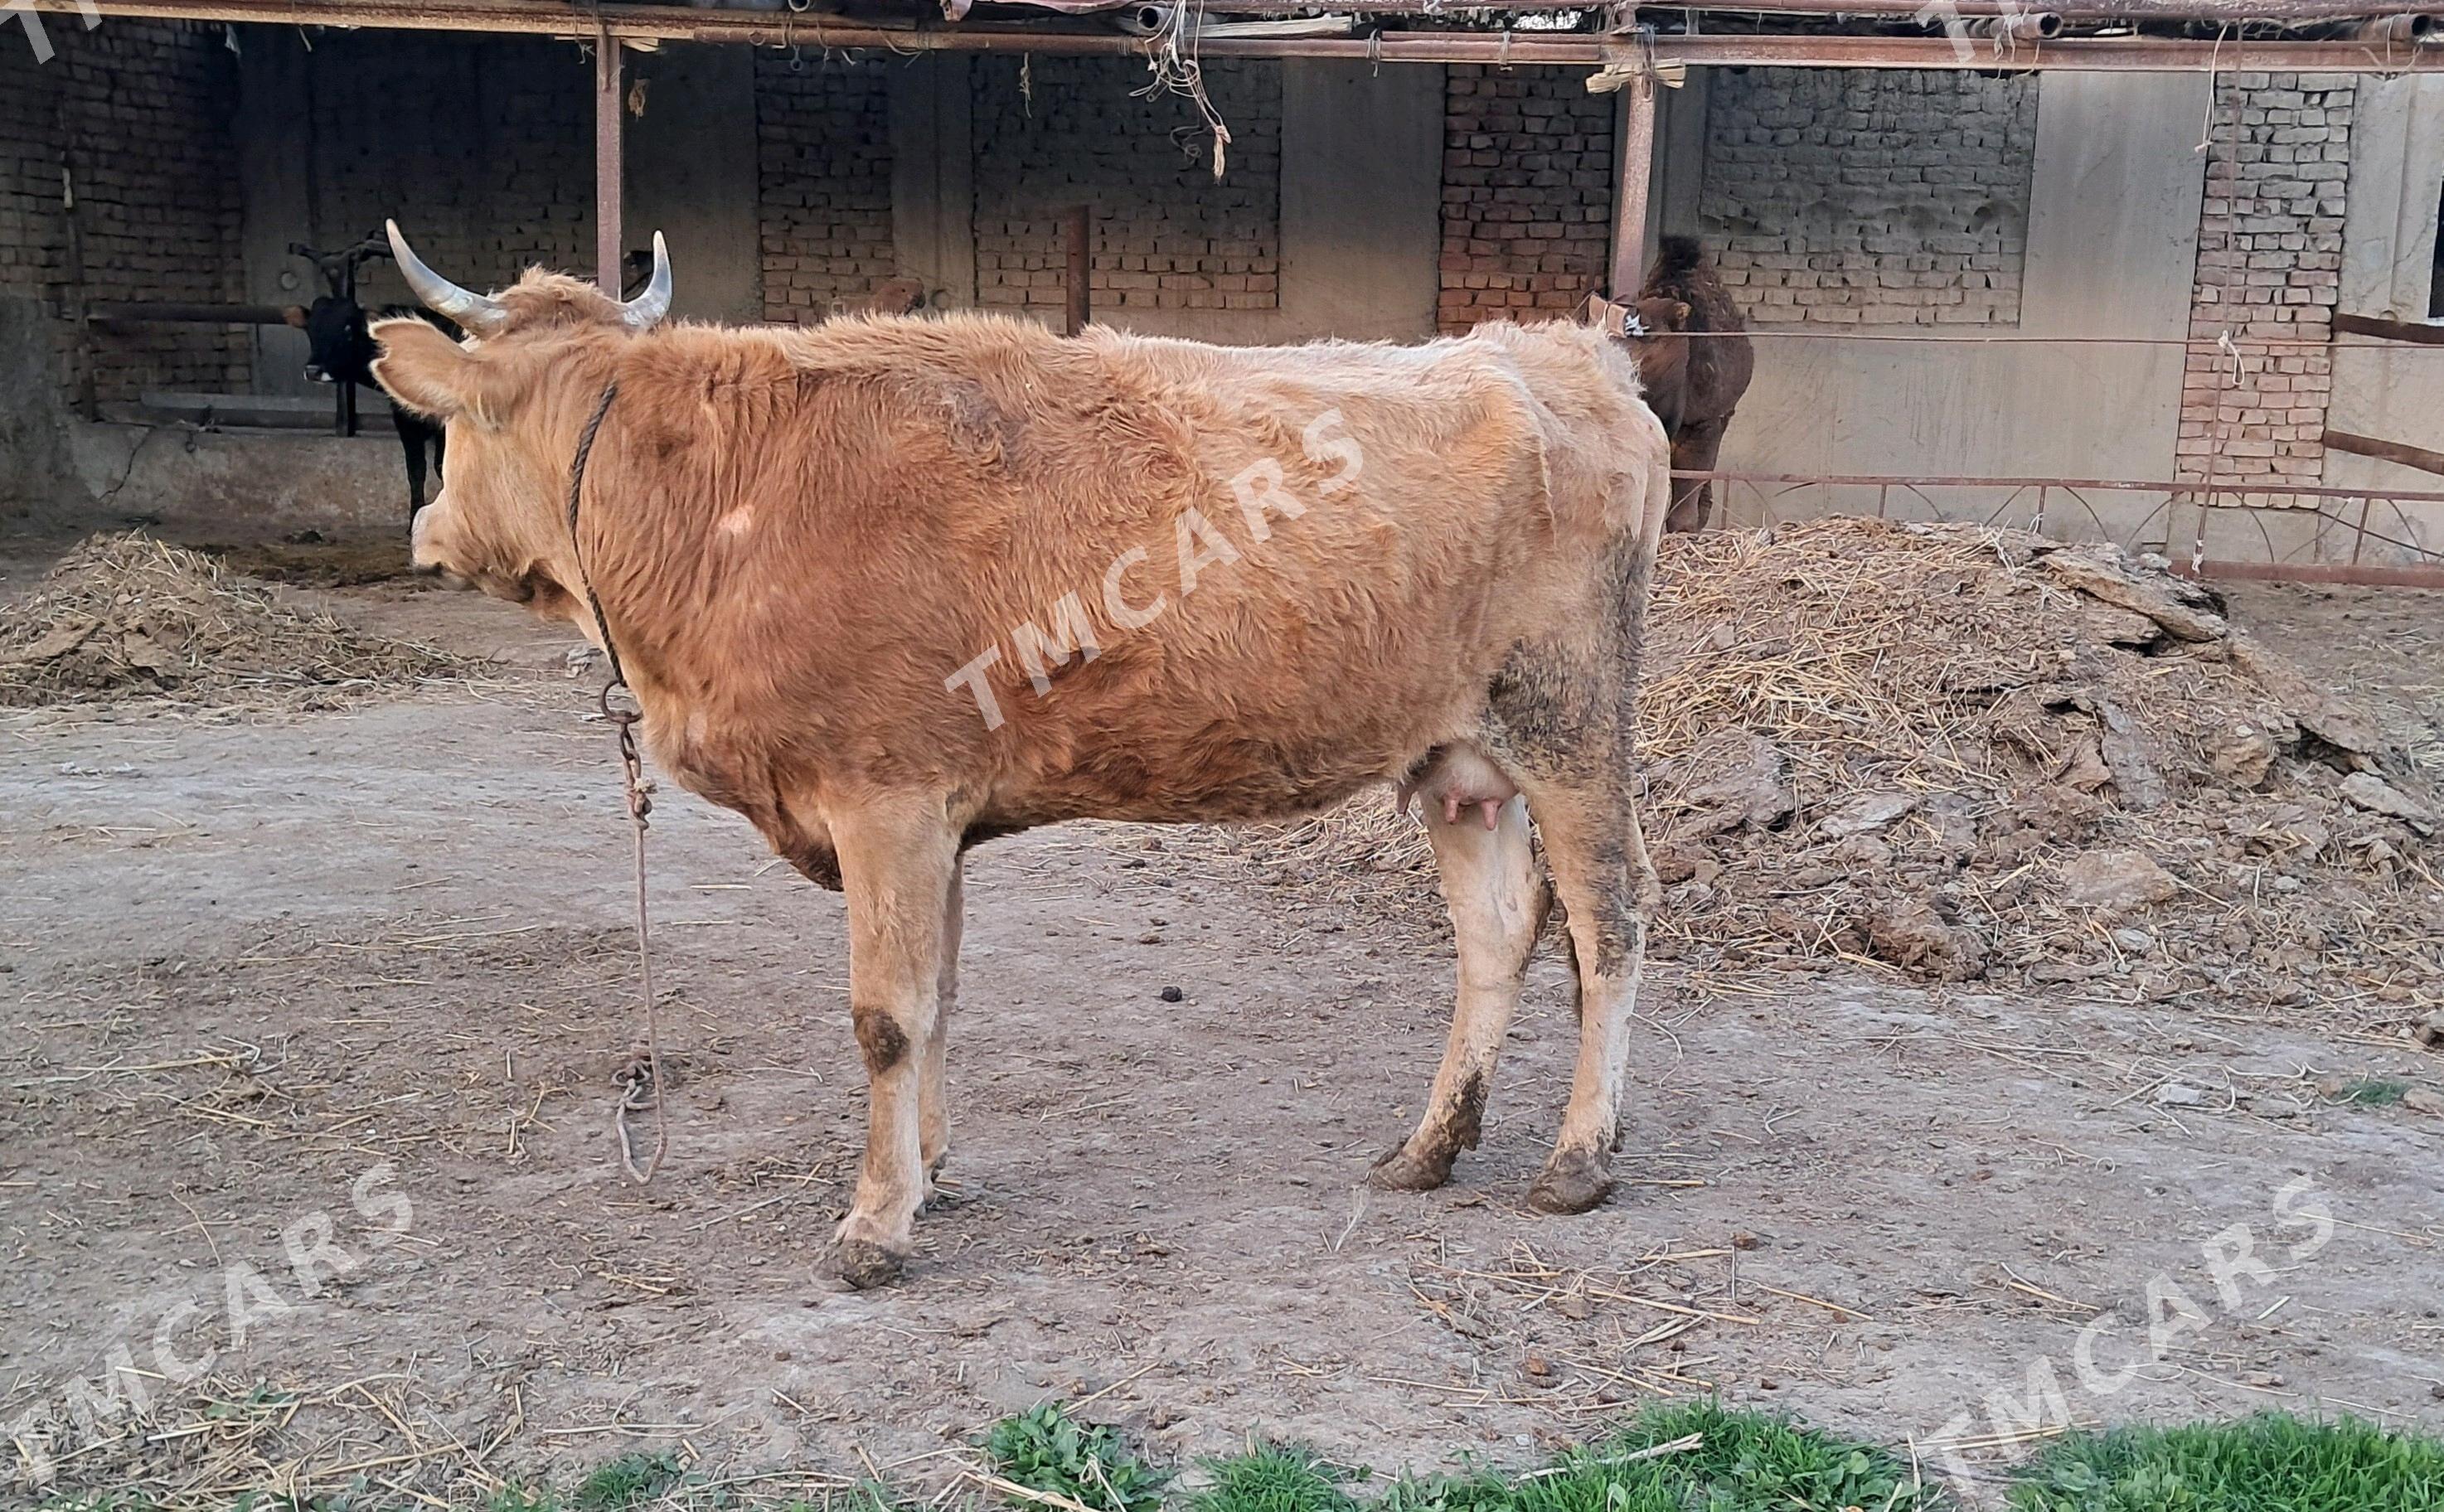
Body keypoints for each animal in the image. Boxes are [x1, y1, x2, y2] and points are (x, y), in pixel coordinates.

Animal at [376, 225, 1681, 1289]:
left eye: (452, 424)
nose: (424, 529)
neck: (719, 490)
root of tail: (1559, 352)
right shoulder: (935, 817)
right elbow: (940, 999)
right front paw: (929, 1172)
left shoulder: (886, 802)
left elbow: (886, 1015)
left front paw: (873, 1224)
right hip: (1458, 760)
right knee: (1496, 933)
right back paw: (1429, 1148)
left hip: (1570, 719)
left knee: (1610, 917)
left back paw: (1578, 1159)